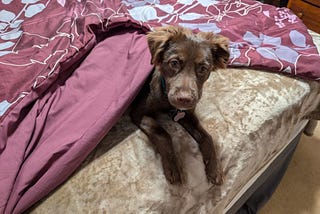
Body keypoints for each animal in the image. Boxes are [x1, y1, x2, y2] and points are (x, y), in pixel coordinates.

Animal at [131, 25, 230, 185]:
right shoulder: (138, 112)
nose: (184, 99)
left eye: (203, 68)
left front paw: (214, 168)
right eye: (174, 63)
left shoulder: (186, 113)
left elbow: (207, 136)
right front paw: (173, 168)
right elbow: (162, 133)